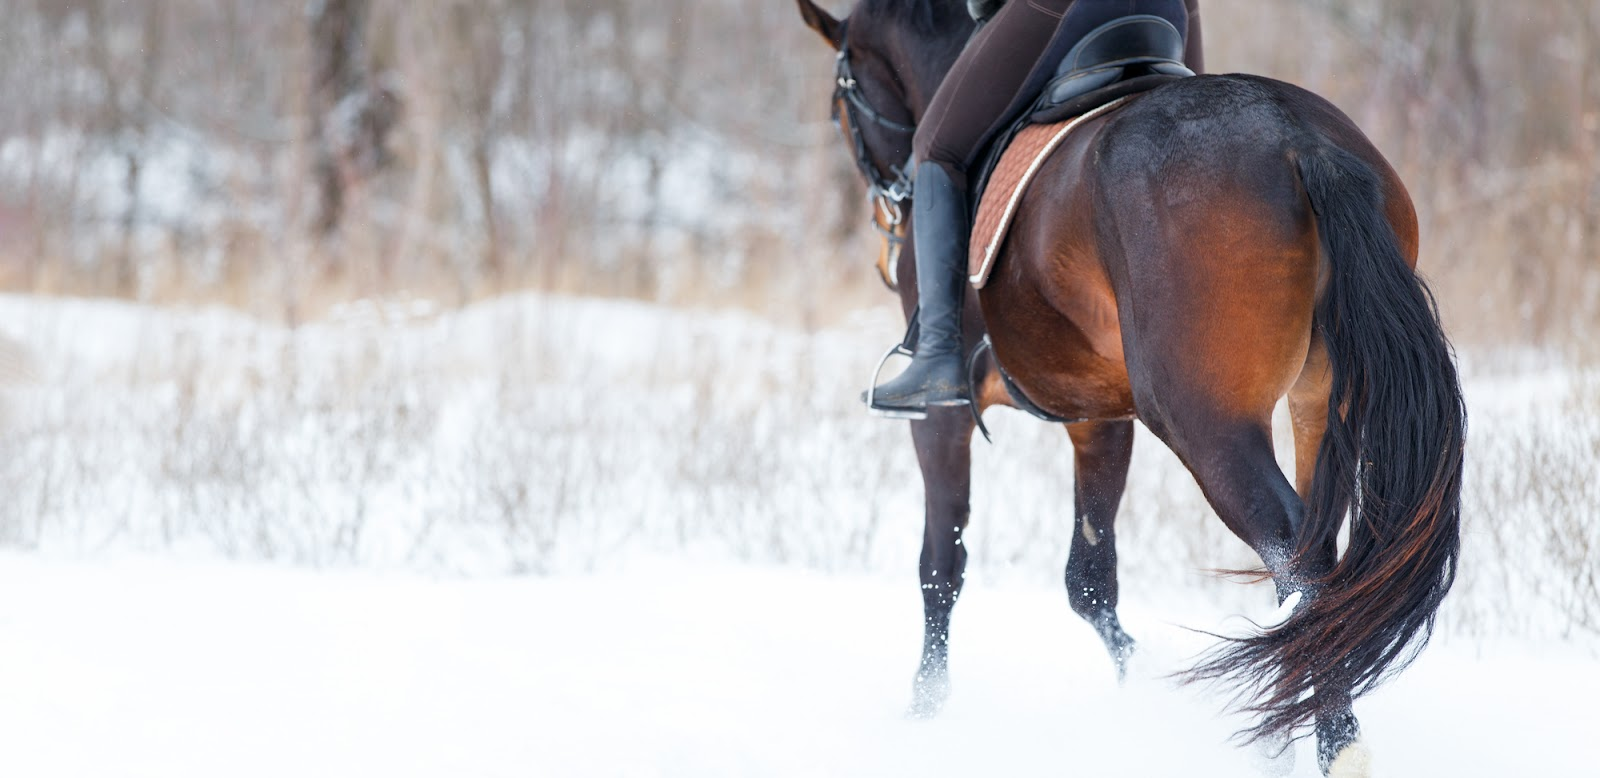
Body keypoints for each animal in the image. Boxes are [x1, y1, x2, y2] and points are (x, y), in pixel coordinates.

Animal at [790, 3, 1465, 774]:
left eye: (841, 98)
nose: (886, 217)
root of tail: (1301, 142)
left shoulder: (942, 417)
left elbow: (942, 565)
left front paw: (924, 712)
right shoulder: (1096, 415)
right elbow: (1089, 580)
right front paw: (1138, 688)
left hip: (1205, 423)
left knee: (1301, 566)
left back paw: (1335, 743)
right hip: (1318, 405)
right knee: (1324, 565)